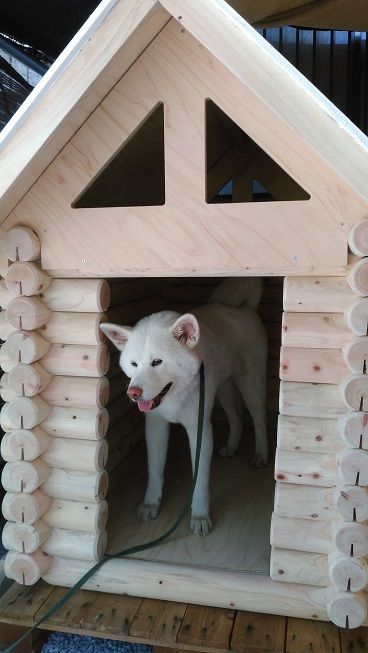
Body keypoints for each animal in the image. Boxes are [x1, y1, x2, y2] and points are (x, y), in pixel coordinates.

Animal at [100, 278, 268, 536]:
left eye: (157, 362)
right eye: (134, 364)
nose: (133, 393)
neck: (173, 396)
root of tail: (243, 309)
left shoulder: (199, 429)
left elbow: (200, 480)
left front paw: (199, 516)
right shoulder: (155, 426)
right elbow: (154, 471)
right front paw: (150, 504)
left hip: (250, 385)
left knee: (258, 418)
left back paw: (261, 454)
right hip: (222, 389)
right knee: (236, 416)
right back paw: (231, 447)